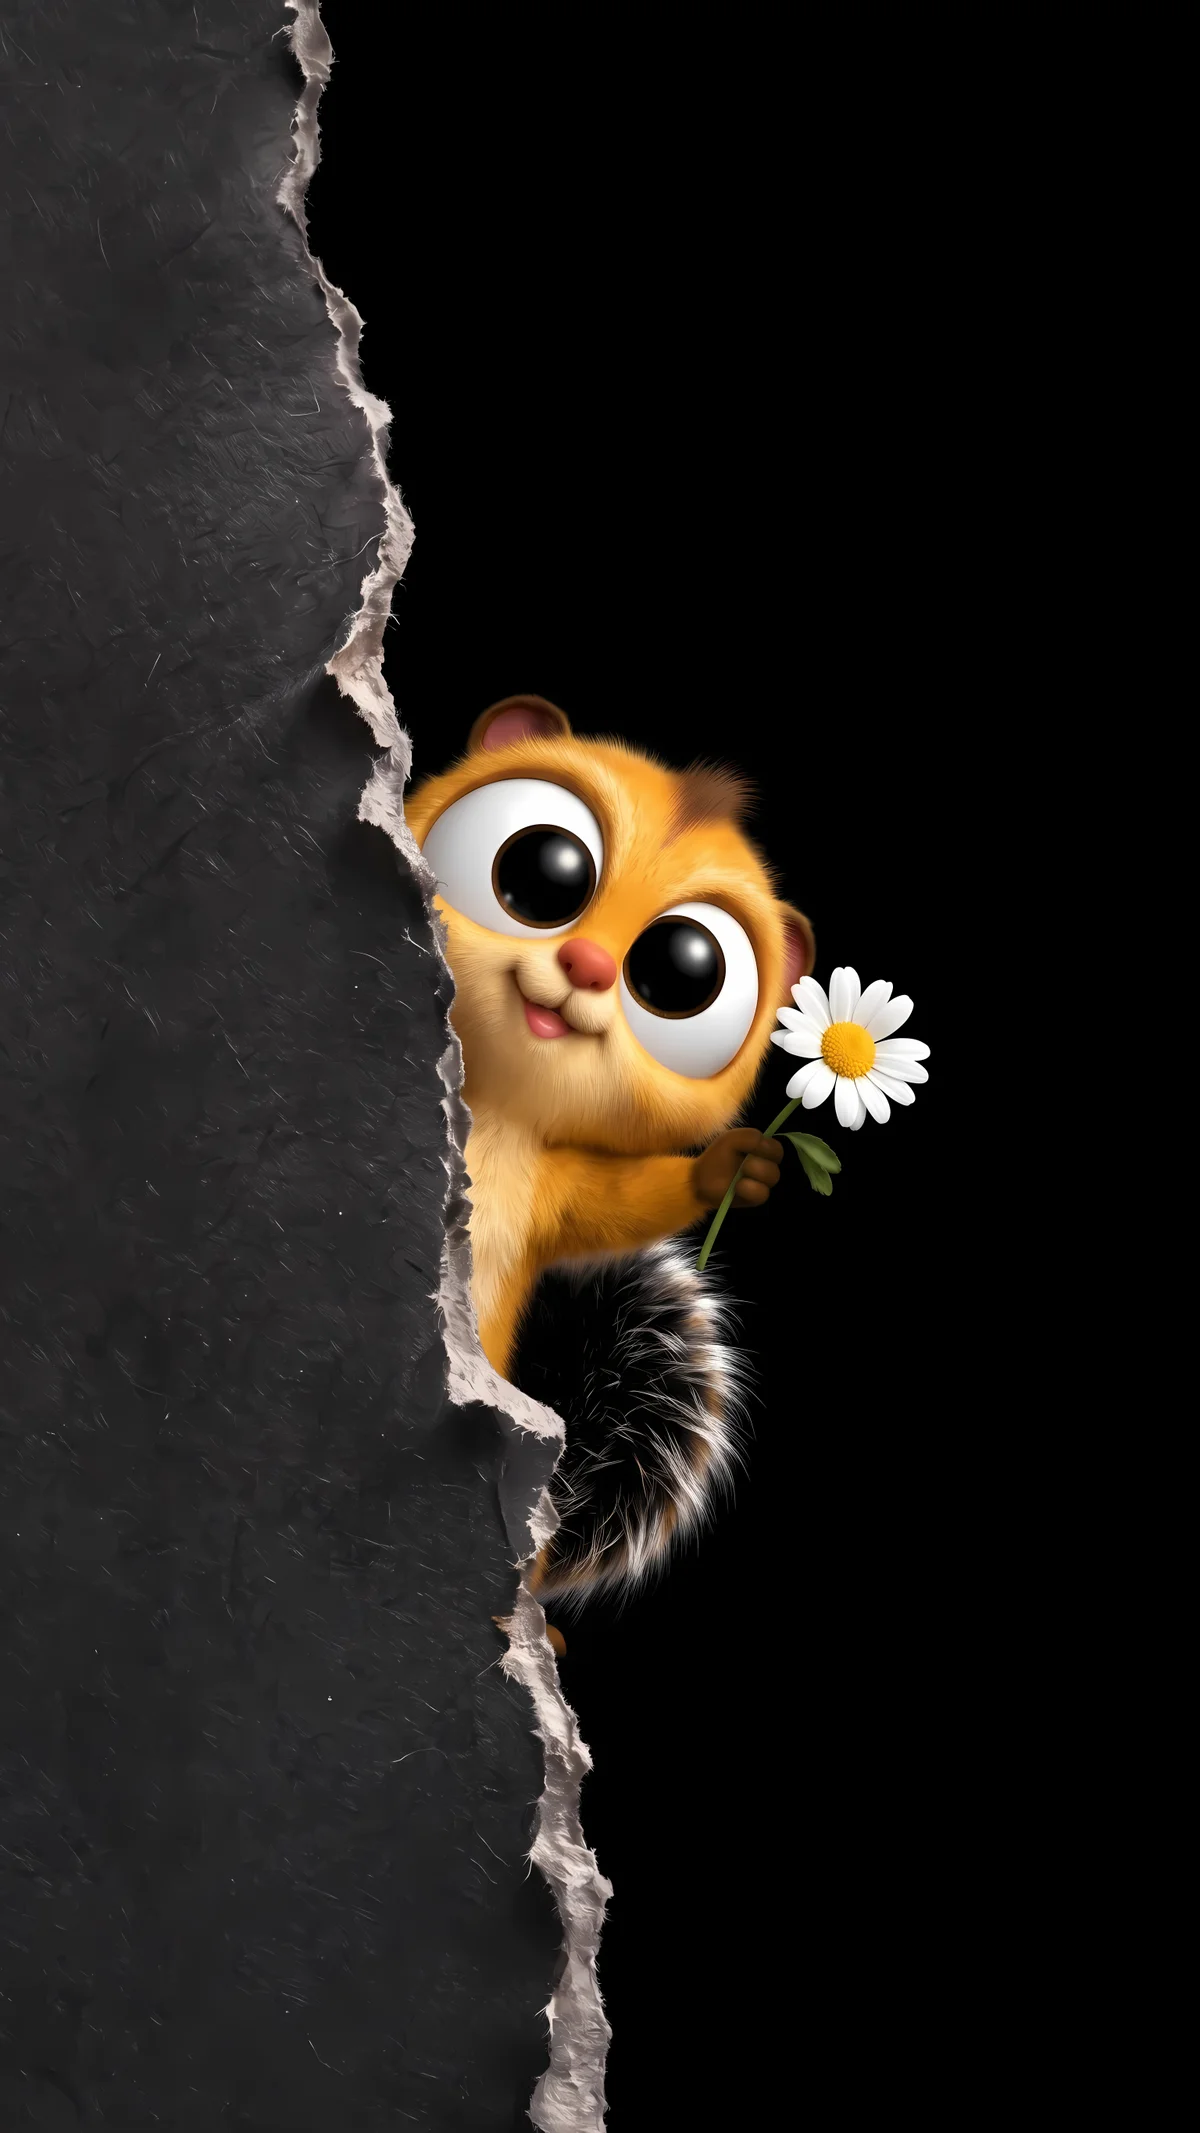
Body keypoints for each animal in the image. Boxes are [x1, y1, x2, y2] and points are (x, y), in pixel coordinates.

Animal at [406, 695, 814, 1626]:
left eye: (684, 971)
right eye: (542, 872)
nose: (585, 964)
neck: (497, 1111)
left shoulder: (549, 1190)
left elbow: (610, 1204)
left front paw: (733, 1165)